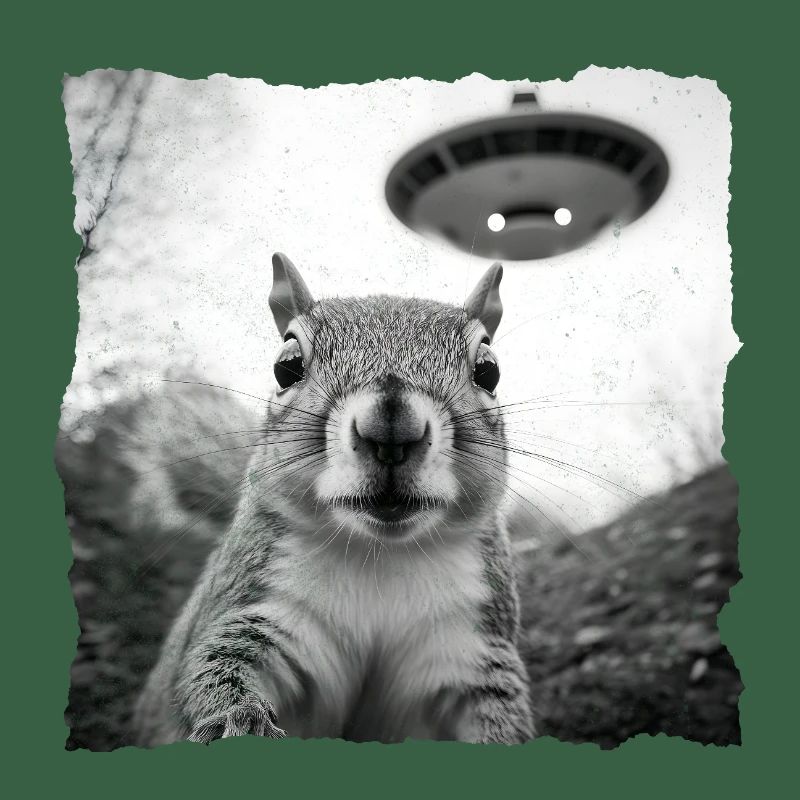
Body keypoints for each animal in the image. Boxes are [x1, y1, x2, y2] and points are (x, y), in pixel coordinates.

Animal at [133, 252, 535, 746]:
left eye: (488, 370)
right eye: (286, 366)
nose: (391, 428)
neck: (381, 554)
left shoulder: (469, 647)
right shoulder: (260, 609)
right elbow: (216, 667)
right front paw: (239, 722)